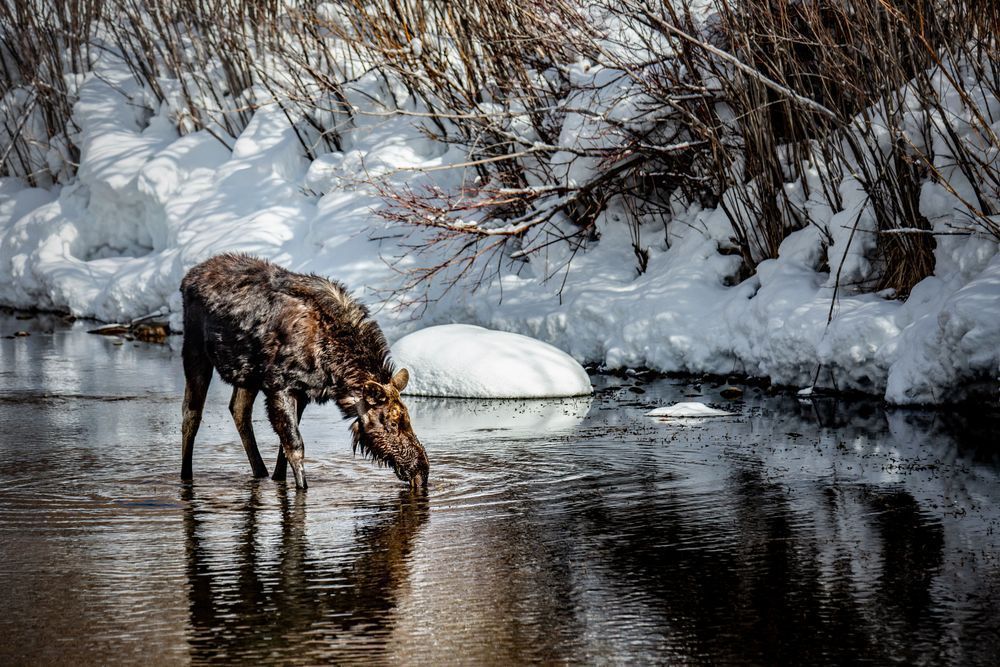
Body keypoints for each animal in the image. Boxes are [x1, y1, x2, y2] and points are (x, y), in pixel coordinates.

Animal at [179, 253, 429, 490]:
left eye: (408, 419)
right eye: (393, 423)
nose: (421, 471)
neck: (332, 364)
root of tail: (188, 278)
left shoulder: (303, 392)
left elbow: (283, 448)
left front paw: (279, 479)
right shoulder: (280, 387)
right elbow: (295, 446)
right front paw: (302, 488)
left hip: (247, 374)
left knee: (238, 410)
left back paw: (260, 472)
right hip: (195, 351)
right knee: (191, 415)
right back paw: (185, 475)